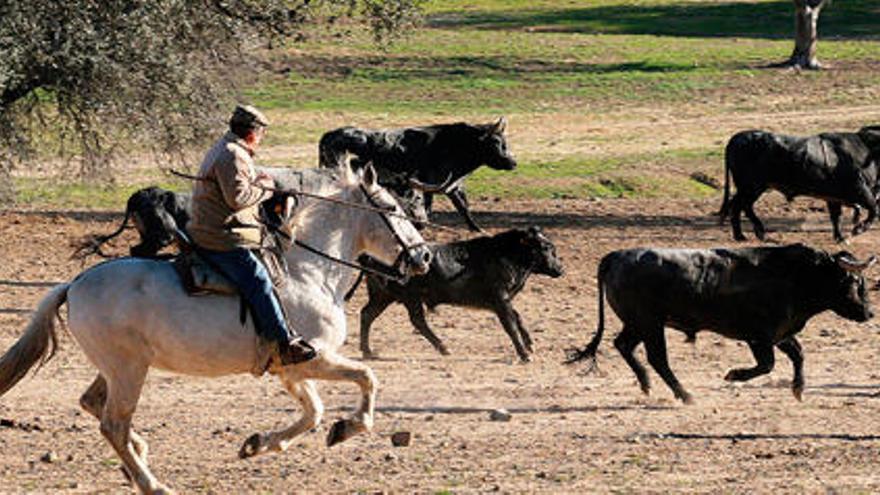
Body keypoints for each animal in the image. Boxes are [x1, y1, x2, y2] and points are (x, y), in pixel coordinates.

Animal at [0, 165, 430, 494]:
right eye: (392, 207)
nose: (424, 255)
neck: (308, 271)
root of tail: (74, 285)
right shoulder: (315, 358)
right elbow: (367, 378)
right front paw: (349, 427)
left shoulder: (289, 368)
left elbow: (314, 412)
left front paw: (259, 444)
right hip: (127, 371)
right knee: (113, 424)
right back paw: (152, 483)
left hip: (117, 368)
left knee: (93, 403)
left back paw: (138, 454)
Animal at [320, 118, 520, 232]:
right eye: (495, 143)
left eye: (504, 142)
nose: (513, 163)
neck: (455, 144)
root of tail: (329, 135)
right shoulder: (431, 185)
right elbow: (431, 207)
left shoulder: (451, 186)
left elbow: (463, 207)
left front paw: (477, 229)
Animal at [568, 244, 876, 404]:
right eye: (854, 282)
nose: (870, 313)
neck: (795, 276)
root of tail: (616, 256)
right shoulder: (760, 336)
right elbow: (767, 364)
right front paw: (733, 375)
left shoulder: (779, 333)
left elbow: (798, 354)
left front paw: (798, 388)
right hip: (649, 323)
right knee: (657, 357)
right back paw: (685, 394)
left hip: (638, 323)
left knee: (624, 345)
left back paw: (646, 384)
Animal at [720, 127, 880, 243]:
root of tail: (736, 138)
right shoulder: (861, 189)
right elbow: (873, 209)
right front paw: (858, 229)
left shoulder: (834, 197)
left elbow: (836, 217)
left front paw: (840, 238)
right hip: (751, 187)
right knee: (739, 206)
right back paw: (746, 235)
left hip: (750, 189)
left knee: (739, 206)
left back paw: (750, 233)